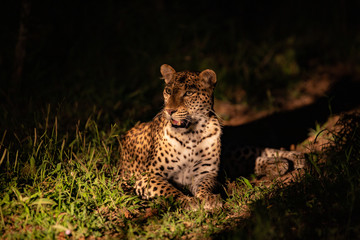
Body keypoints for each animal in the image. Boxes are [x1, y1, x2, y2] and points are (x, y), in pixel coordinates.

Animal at [119, 63, 306, 210]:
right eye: (168, 91)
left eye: (188, 93)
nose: (169, 110)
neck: (191, 135)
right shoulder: (147, 176)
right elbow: (169, 189)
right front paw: (188, 202)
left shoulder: (204, 172)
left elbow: (204, 186)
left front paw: (208, 198)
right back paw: (279, 165)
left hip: (230, 150)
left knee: (257, 150)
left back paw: (296, 157)